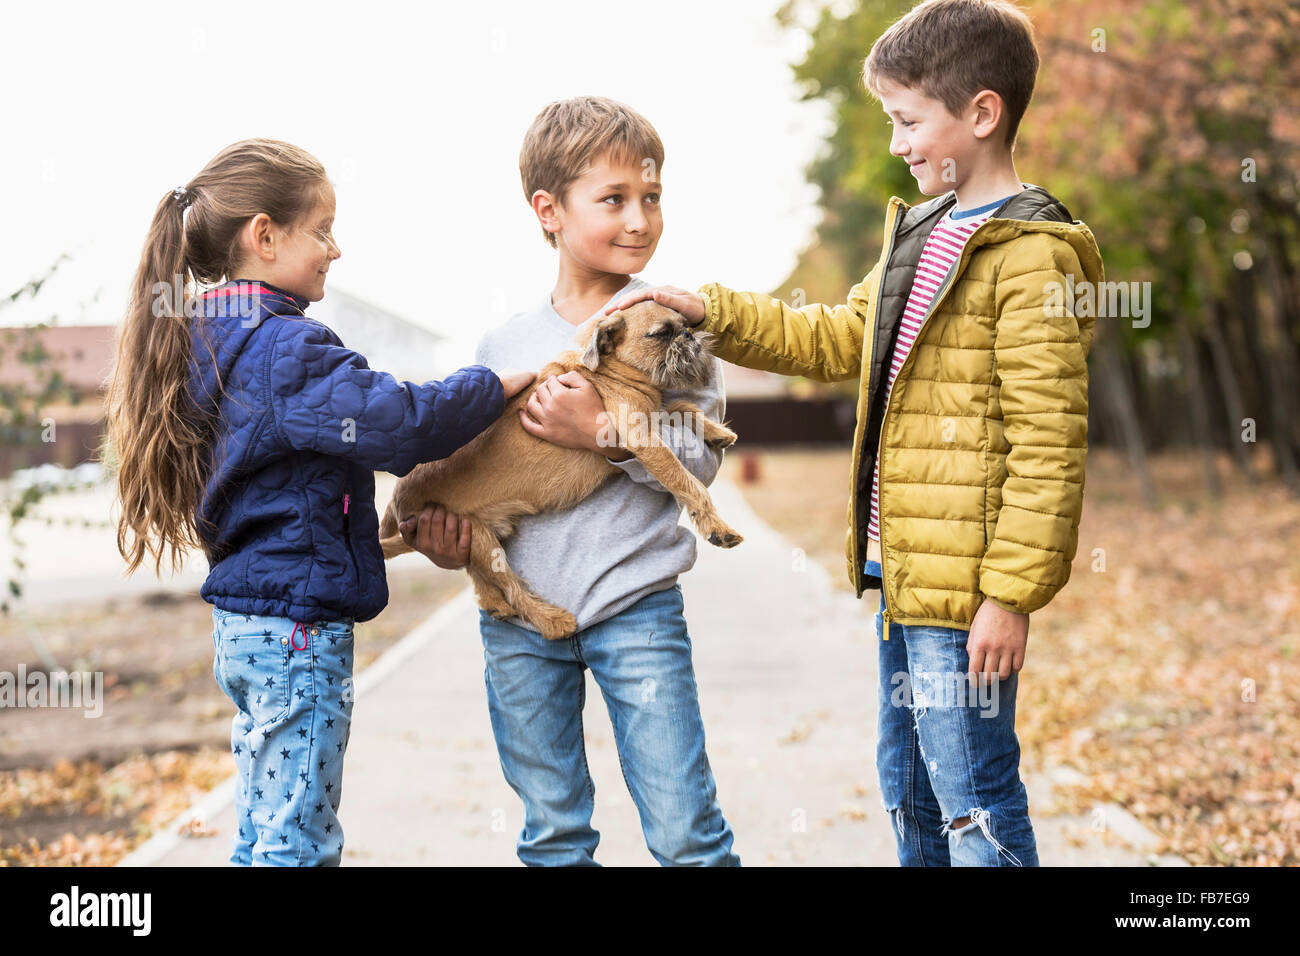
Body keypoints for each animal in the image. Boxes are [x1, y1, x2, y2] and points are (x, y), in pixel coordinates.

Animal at [377, 303, 743, 639]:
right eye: (661, 334)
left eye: (684, 325)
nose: (690, 336)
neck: (608, 371)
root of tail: (395, 501)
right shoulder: (640, 437)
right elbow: (689, 482)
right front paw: (717, 526)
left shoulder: (649, 417)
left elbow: (682, 406)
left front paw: (716, 431)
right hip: (483, 541)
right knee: (511, 586)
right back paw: (551, 620)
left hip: (470, 535)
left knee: (478, 574)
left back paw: (494, 604)